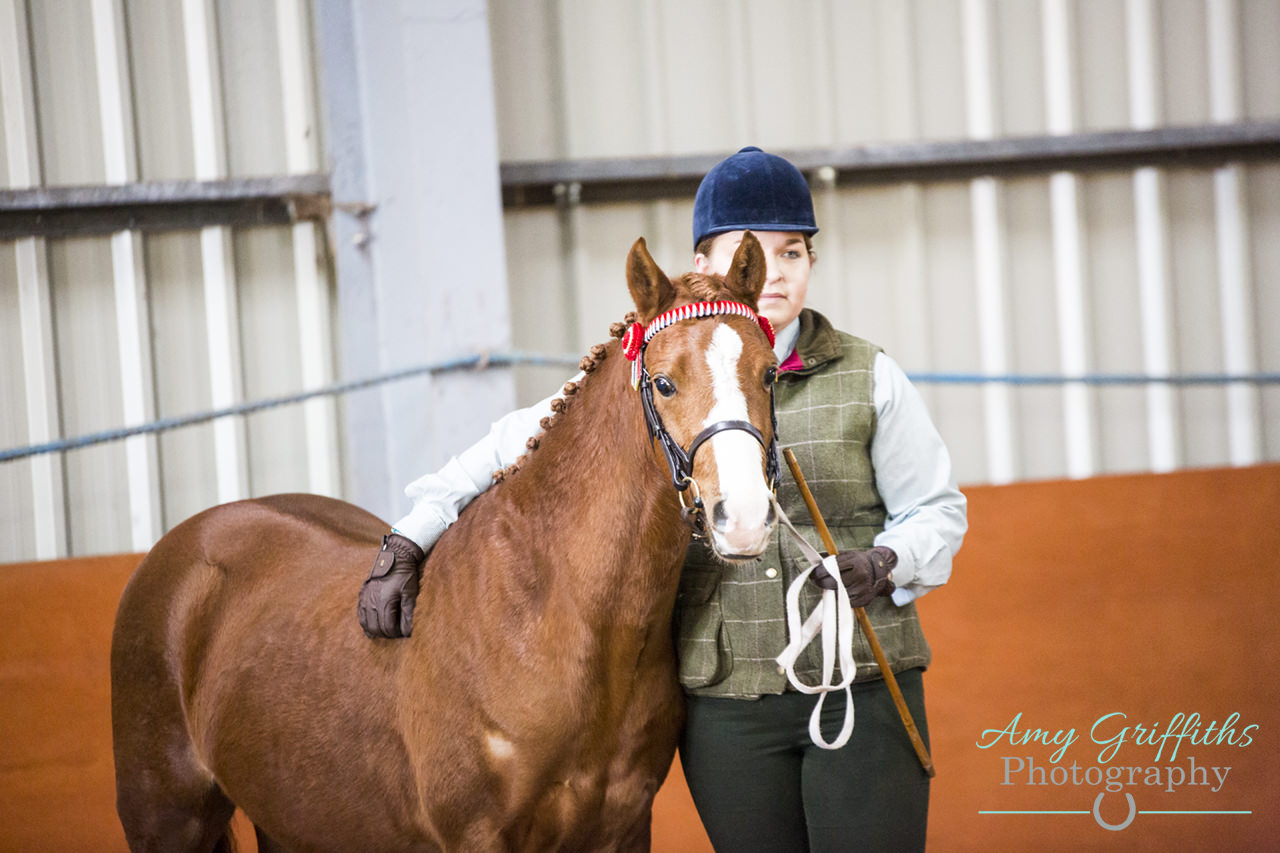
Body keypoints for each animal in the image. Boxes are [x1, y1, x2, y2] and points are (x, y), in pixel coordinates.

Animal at [112, 234, 778, 850]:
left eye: (769, 373)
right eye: (664, 383)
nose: (743, 516)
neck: (556, 616)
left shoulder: (625, 826)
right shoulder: (477, 834)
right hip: (166, 818)